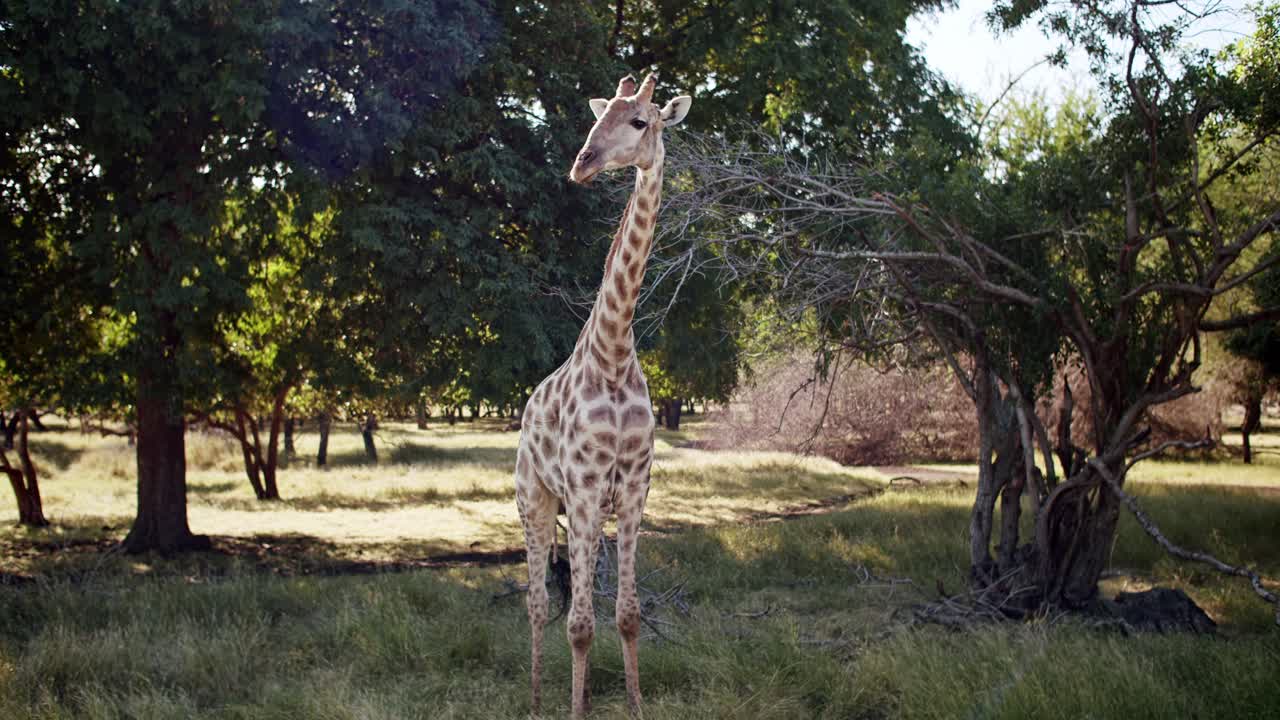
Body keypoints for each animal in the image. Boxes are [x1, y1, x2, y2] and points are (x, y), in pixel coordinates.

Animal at [514, 71, 690, 719]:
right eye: (599, 115)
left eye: (639, 120)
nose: (581, 163)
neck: (613, 355)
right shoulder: (587, 489)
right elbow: (580, 625)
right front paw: (573, 709)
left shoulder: (636, 488)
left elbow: (628, 614)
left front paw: (634, 705)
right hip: (534, 499)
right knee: (540, 604)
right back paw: (538, 697)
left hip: (573, 510)